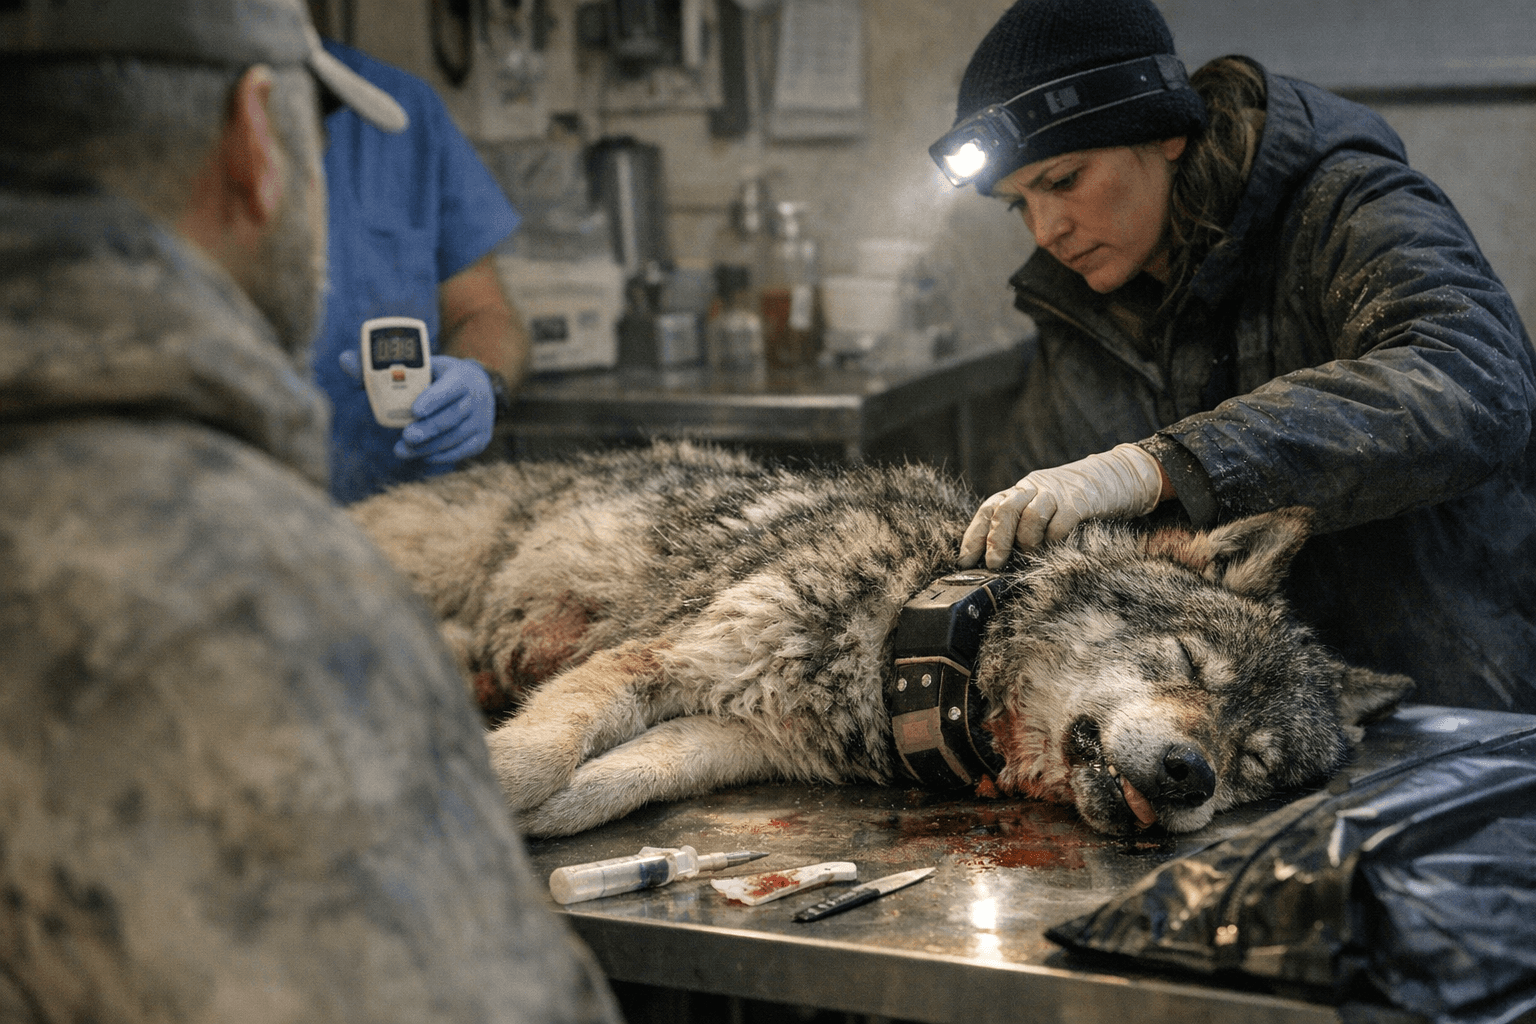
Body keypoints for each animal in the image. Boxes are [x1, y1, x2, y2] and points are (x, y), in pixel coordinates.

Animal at [349, 441, 1411, 838]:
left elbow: (608, 783)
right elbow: (539, 754)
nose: (1193, 777)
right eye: (1189, 665)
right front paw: (485, 788)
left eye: (1255, 764)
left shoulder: (731, 735)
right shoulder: (660, 660)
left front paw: (545, 814)